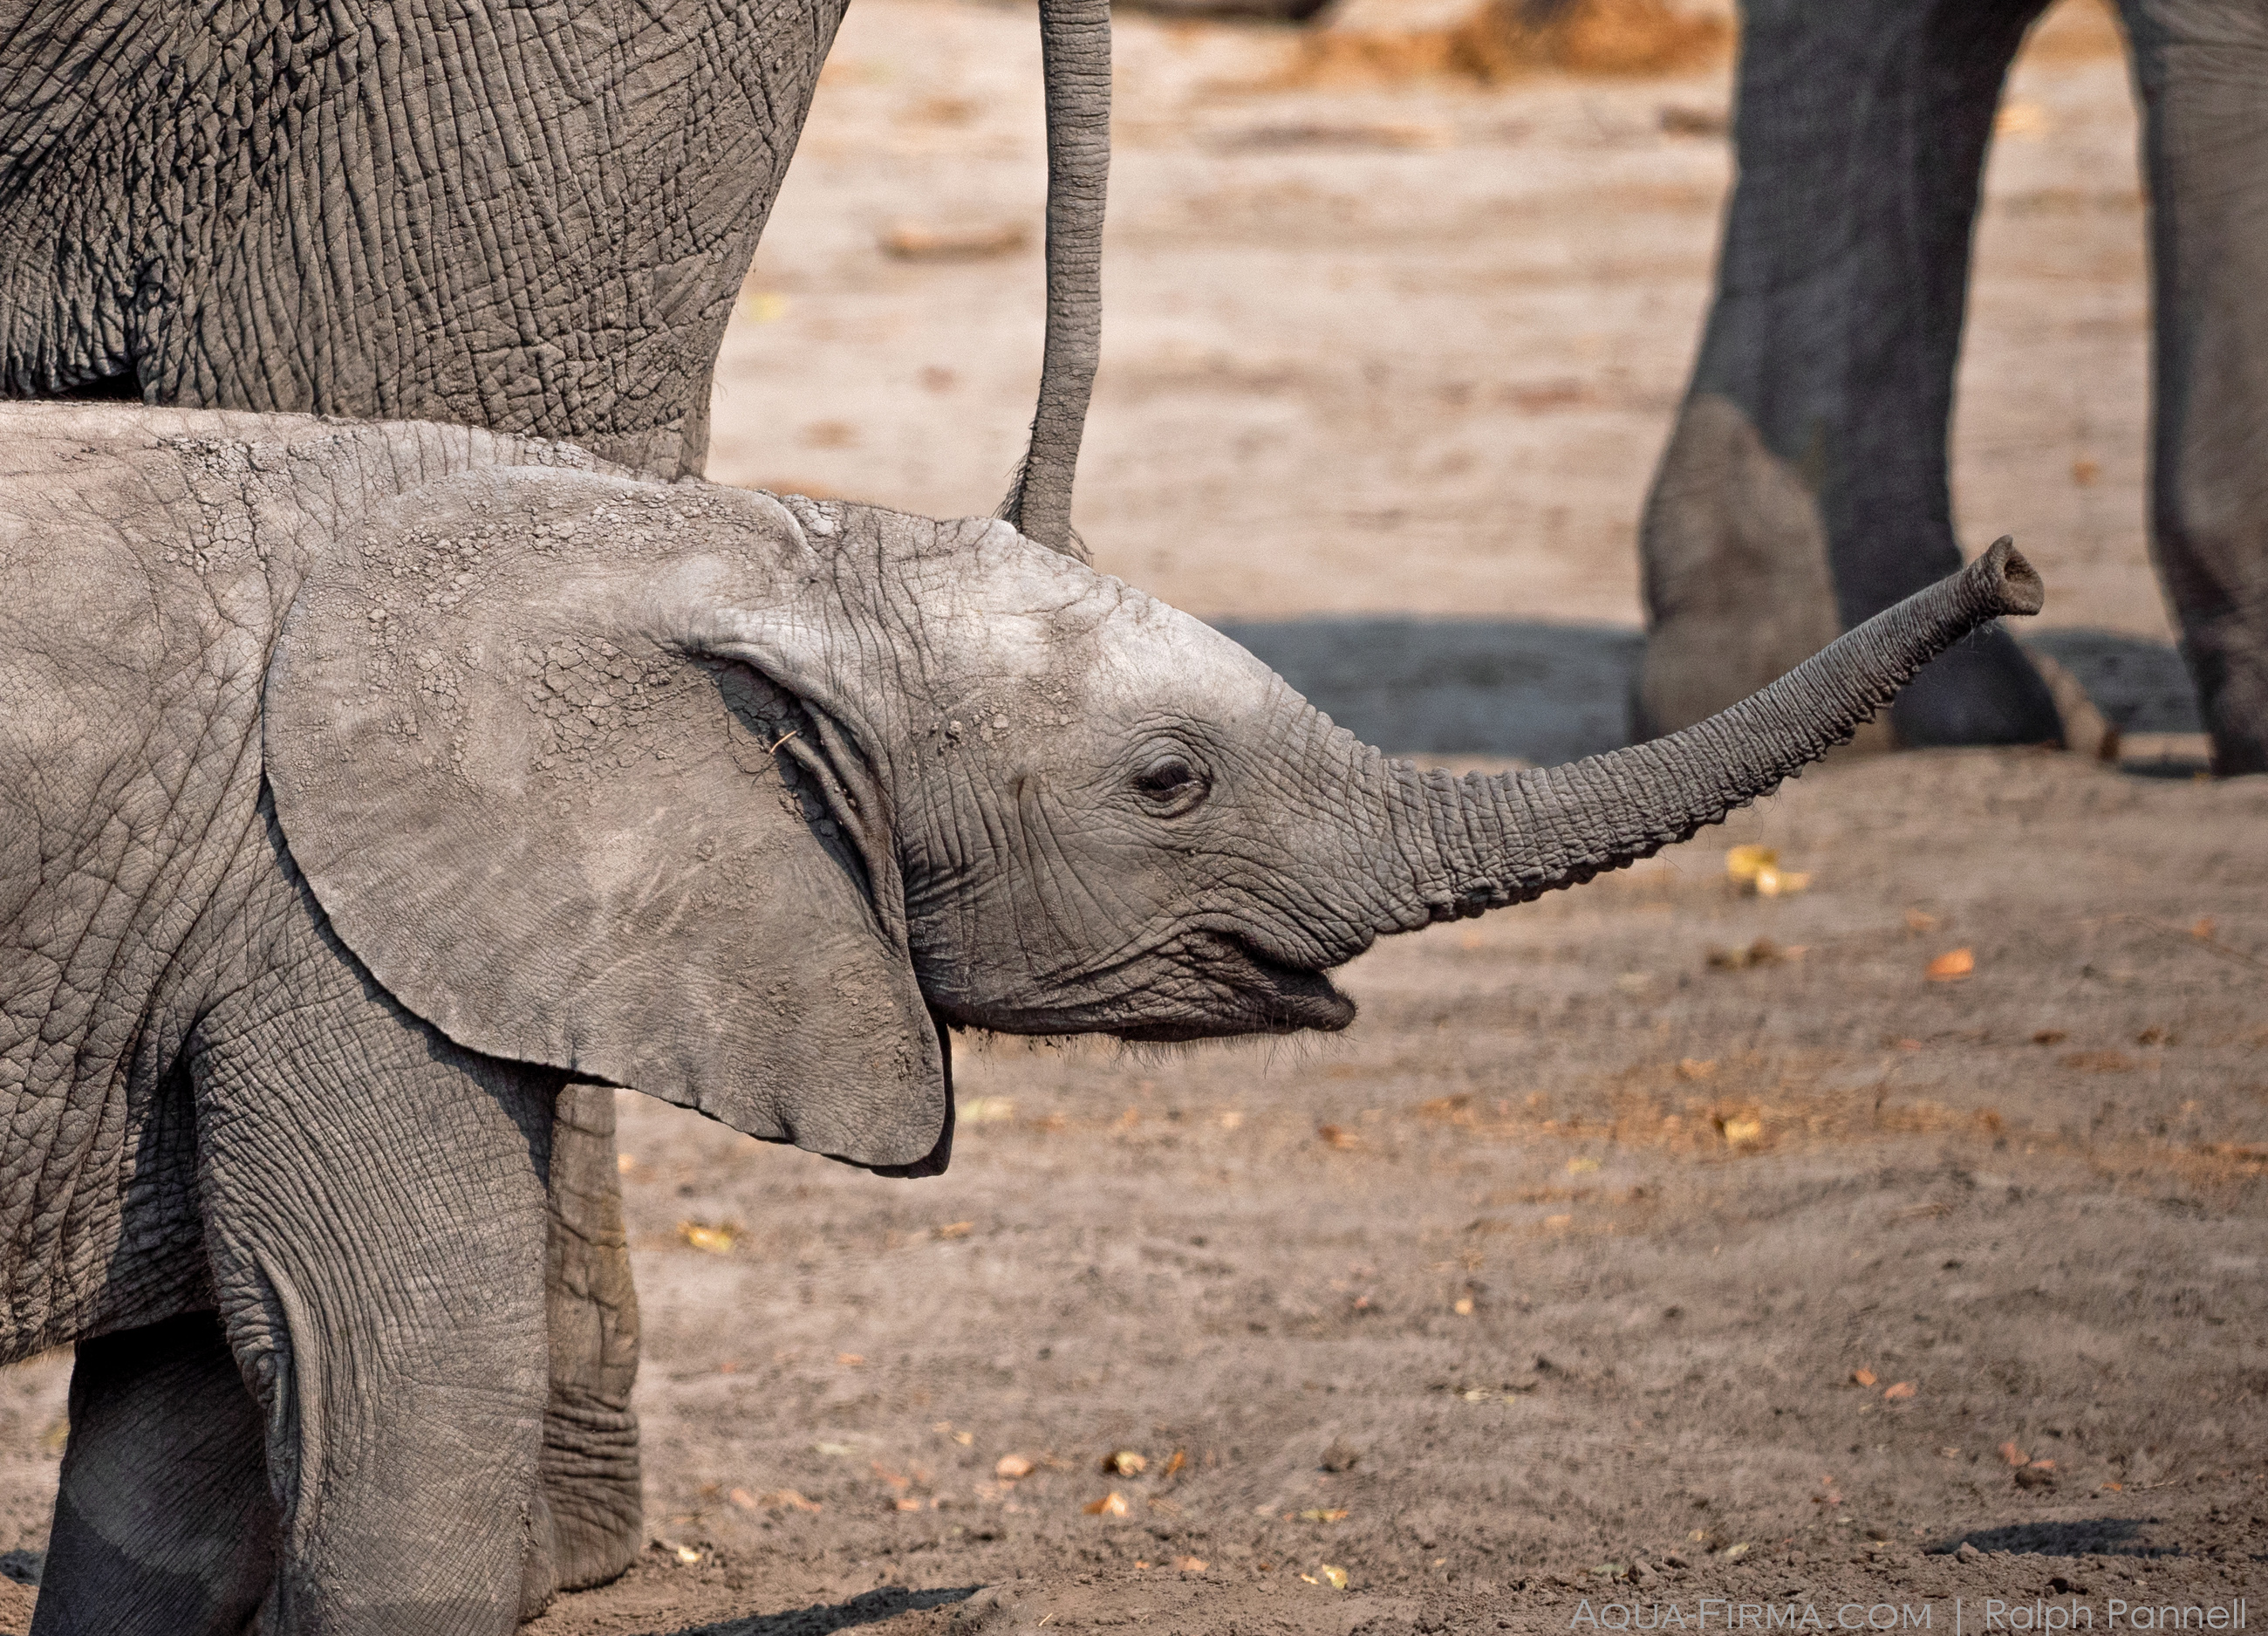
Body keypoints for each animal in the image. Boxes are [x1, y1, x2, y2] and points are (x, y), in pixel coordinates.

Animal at [0, 398, 2042, 1633]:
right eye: (1168, 784)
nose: (2016, 564)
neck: (710, 533)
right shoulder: (315, 923)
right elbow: (393, 1390)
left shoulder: (224, 947)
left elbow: (187, 1453)